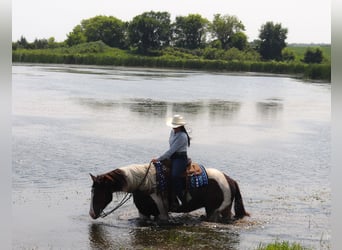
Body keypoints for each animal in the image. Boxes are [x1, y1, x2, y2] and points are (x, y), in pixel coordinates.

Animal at [88, 162, 248, 223]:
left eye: (98, 192)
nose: (91, 214)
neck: (144, 184)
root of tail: (231, 180)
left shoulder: (162, 214)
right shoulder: (143, 213)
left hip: (214, 211)